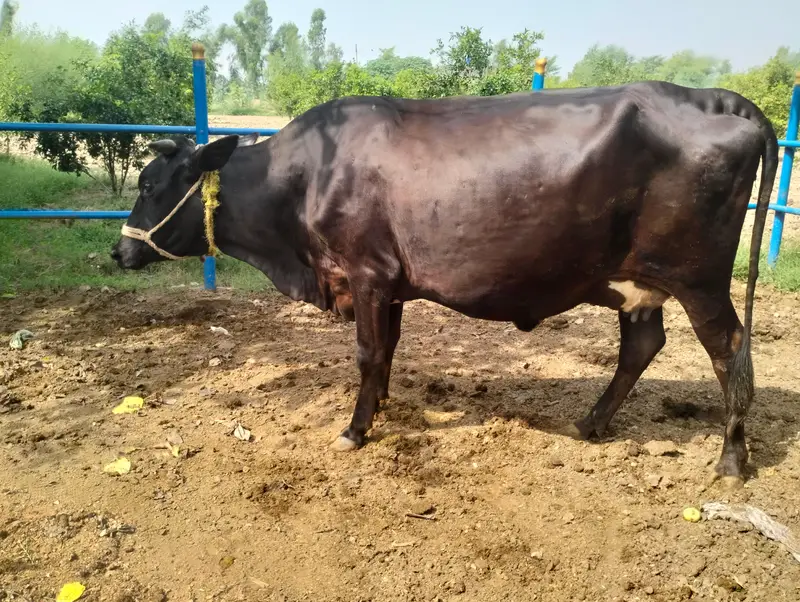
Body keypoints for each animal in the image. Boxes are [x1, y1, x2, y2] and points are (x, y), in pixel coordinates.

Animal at [111, 81, 778, 486]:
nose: (119, 251)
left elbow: (367, 351)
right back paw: (591, 424)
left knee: (730, 350)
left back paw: (731, 457)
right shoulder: (391, 283)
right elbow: (386, 352)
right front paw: (379, 408)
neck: (300, 180)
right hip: (638, 281)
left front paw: (354, 430)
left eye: (150, 185)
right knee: (642, 344)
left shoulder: (368, 272)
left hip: (701, 280)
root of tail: (710, 97)